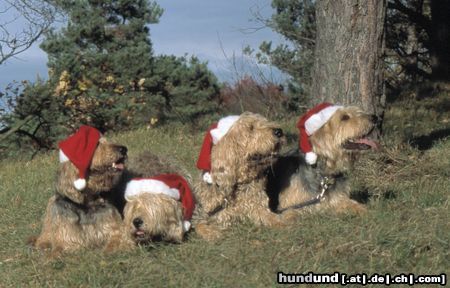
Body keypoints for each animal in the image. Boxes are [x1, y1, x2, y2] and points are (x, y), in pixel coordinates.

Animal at [193, 112, 288, 241]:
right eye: (251, 128)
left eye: (265, 121)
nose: (279, 131)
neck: (238, 185)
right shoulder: (208, 215)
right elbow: (201, 225)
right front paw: (212, 232)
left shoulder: (257, 207)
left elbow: (269, 216)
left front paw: (280, 221)